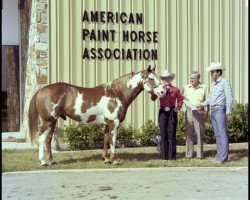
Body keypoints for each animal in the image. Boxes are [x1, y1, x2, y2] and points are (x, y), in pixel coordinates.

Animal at [28, 65, 165, 166]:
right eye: (151, 78)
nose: (163, 92)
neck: (117, 93)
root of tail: (41, 90)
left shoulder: (107, 124)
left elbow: (105, 140)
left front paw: (106, 159)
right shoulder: (114, 123)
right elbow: (112, 141)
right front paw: (114, 160)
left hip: (53, 122)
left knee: (48, 140)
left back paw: (52, 161)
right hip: (47, 121)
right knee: (41, 139)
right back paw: (43, 162)